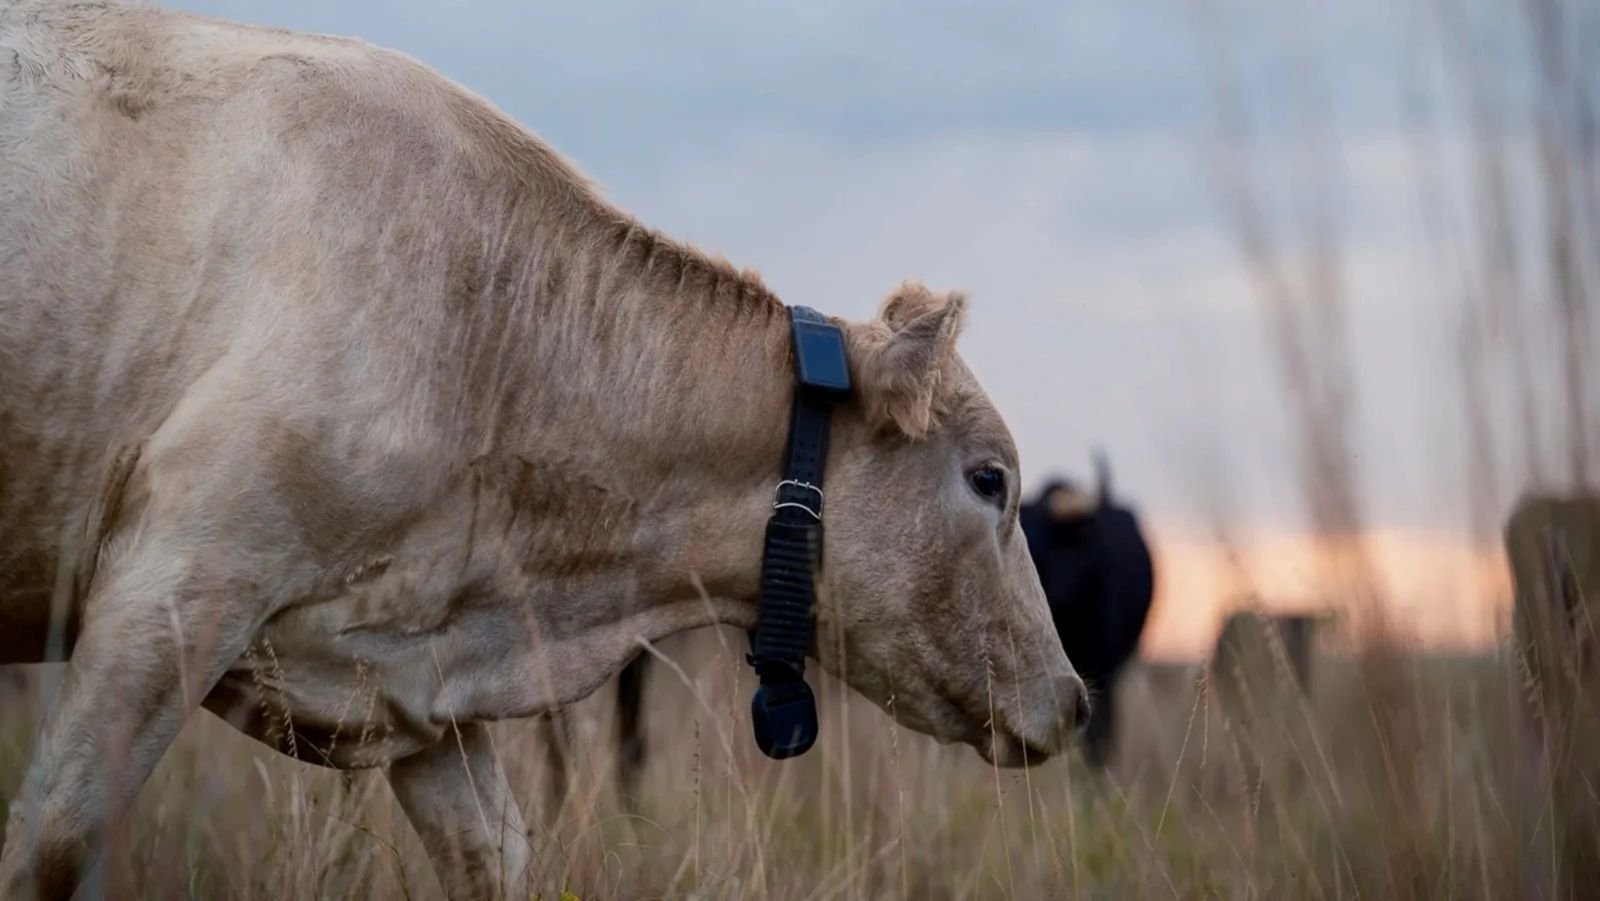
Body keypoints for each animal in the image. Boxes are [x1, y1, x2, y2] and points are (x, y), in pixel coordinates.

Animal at [0, 2, 1087, 897]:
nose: (1072, 700)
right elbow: (52, 840)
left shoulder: (410, 675)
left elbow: (496, 852)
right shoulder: (180, 580)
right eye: (989, 479)